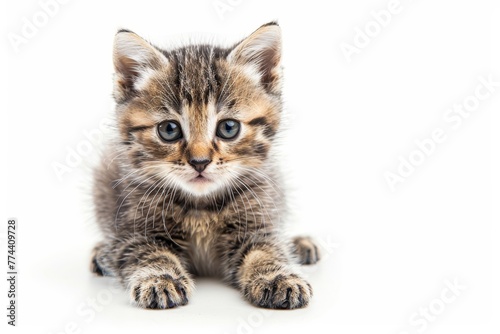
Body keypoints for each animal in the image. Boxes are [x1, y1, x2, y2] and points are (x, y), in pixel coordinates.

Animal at [91, 22, 318, 310]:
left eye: (229, 128)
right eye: (169, 130)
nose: (200, 162)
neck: (201, 208)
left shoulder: (258, 219)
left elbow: (266, 249)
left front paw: (277, 276)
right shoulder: (133, 231)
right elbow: (148, 253)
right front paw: (160, 278)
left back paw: (301, 244)